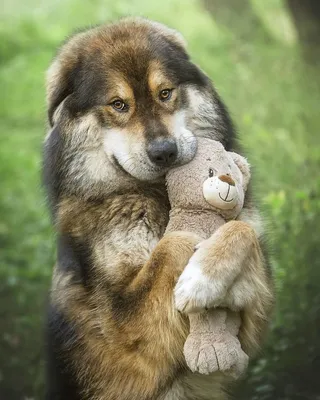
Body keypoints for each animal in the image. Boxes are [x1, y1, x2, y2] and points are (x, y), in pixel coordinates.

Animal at [42, 17, 274, 398]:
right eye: (118, 104)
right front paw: (195, 277)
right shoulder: (123, 333)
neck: (161, 195)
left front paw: (202, 277)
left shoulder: (252, 321)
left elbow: (240, 228)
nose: (164, 152)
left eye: (165, 93)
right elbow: (174, 242)